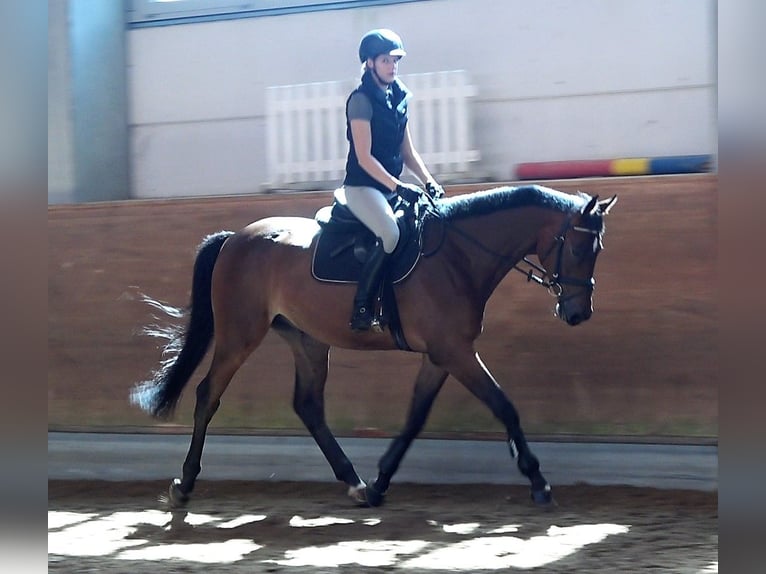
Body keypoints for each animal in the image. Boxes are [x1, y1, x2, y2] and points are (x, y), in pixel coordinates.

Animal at [132, 184, 620, 508]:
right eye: (580, 249)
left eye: (598, 250)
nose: (577, 313)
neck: (458, 256)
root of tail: (235, 238)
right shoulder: (455, 352)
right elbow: (504, 406)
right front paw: (538, 481)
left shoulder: (442, 354)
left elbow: (416, 416)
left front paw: (383, 478)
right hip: (239, 335)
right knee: (208, 394)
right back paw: (184, 484)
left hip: (308, 340)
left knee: (308, 405)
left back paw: (355, 482)